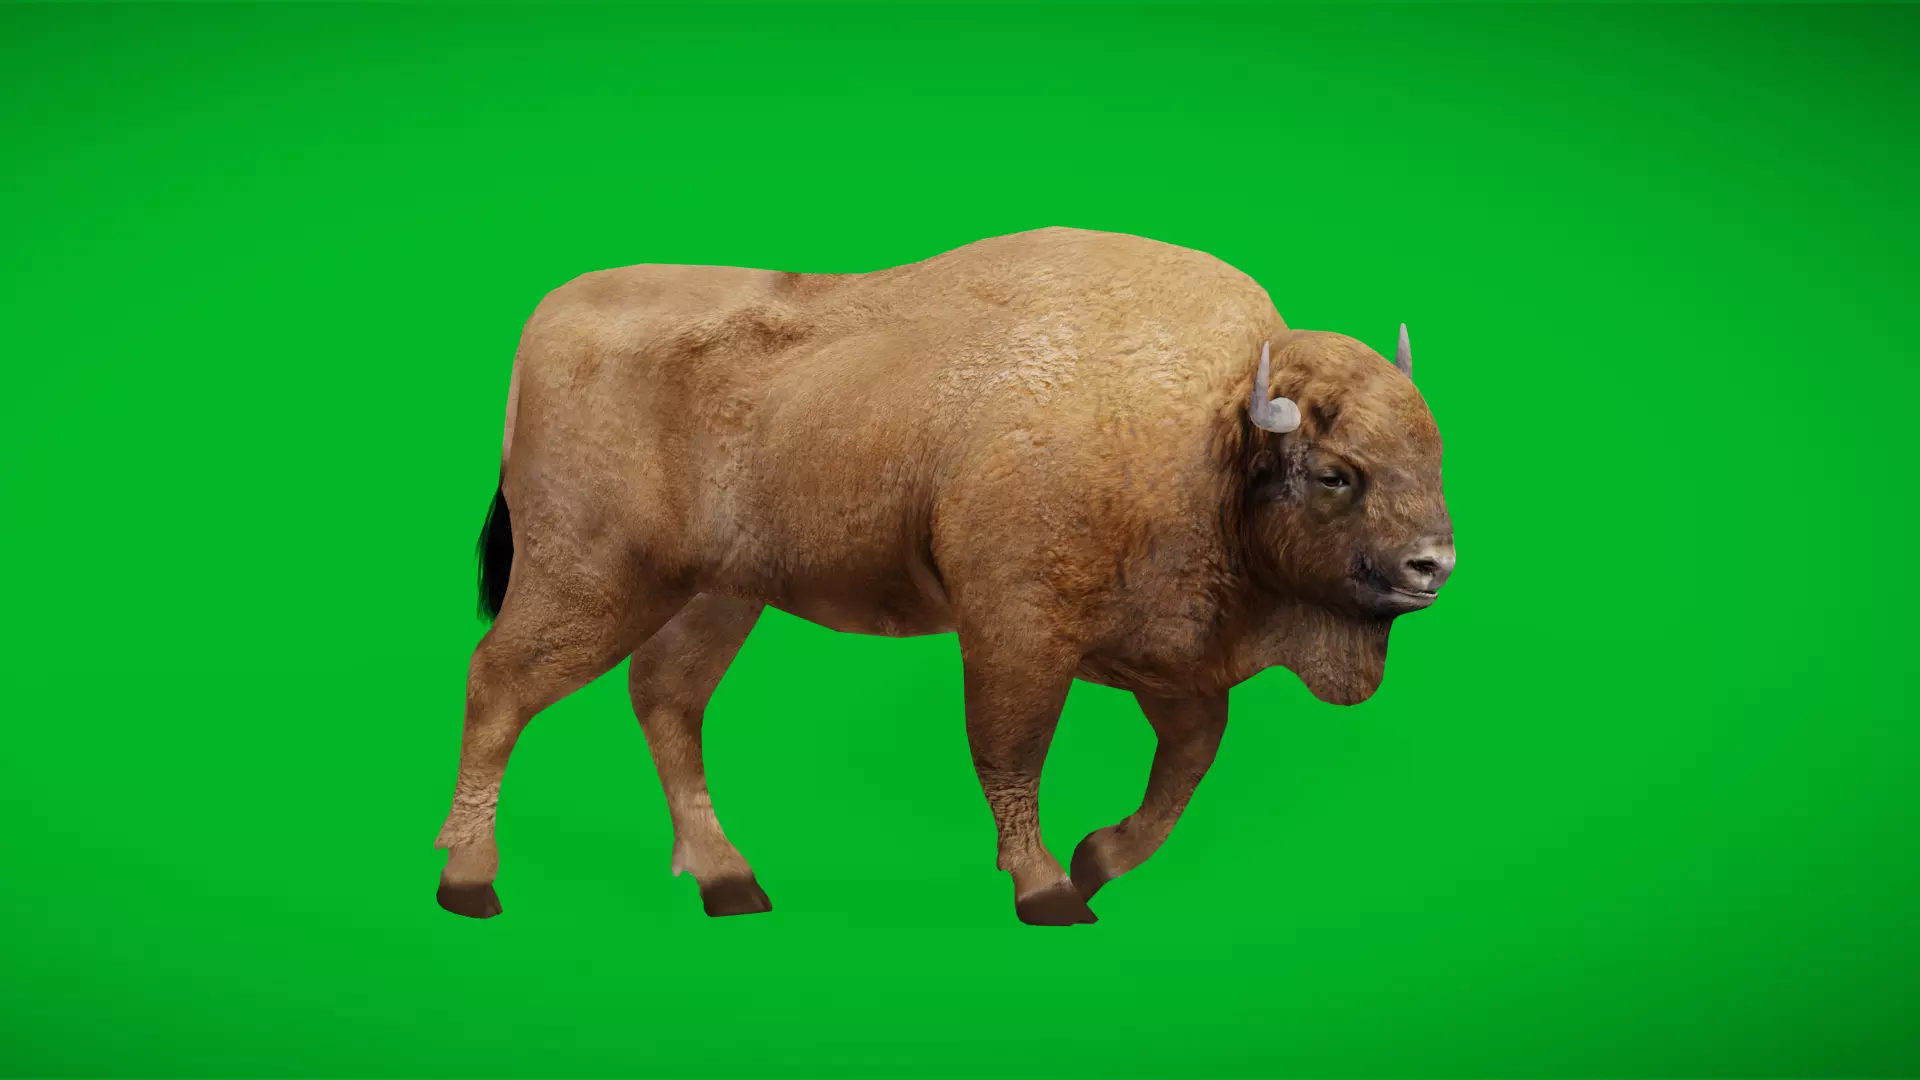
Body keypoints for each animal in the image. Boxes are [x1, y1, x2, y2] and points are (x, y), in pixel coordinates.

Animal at [434, 226, 1455, 926]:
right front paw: (1049, 889)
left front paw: (1100, 858)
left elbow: (1189, 756)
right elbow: (1013, 750)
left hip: (714, 596)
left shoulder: (1167, 650)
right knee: (499, 683)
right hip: (592, 579)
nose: (1434, 565)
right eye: (1335, 474)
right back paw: (468, 880)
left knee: (665, 699)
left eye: (1435, 453)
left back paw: (728, 880)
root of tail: (548, 317)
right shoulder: (1019, 633)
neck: (1214, 431)